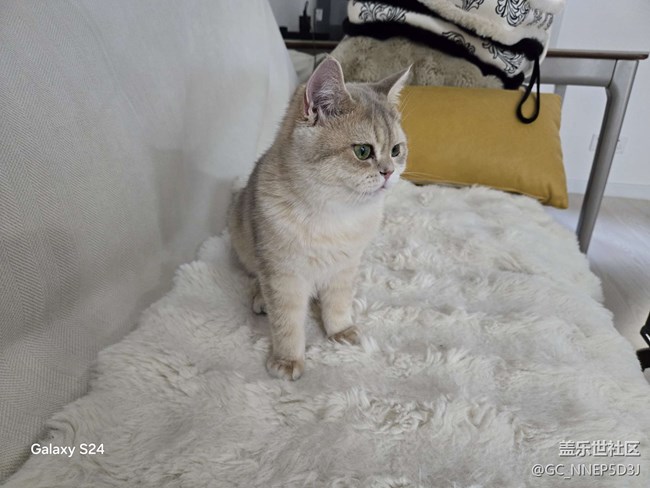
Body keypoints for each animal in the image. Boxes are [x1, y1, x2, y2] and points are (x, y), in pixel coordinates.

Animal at [228, 56, 409, 380]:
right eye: (363, 151)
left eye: (396, 150)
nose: (389, 172)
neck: (333, 215)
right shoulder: (283, 275)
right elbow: (286, 322)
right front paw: (288, 359)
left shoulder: (345, 267)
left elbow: (337, 303)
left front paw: (340, 330)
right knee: (254, 275)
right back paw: (260, 297)